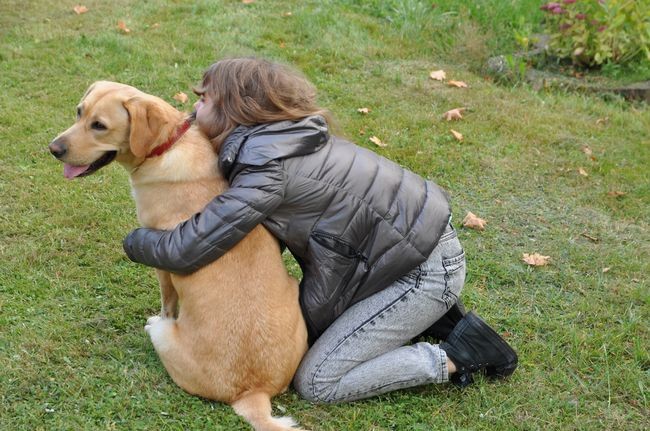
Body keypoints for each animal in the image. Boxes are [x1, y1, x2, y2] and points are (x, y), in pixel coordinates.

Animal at [48, 82, 306, 431]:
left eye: (99, 125)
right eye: (79, 112)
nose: (53, 148)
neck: (166, 146)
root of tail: (253, 393)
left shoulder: (162, 259)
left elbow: (167, 300)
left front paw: (160, 311)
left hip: (164, 337)